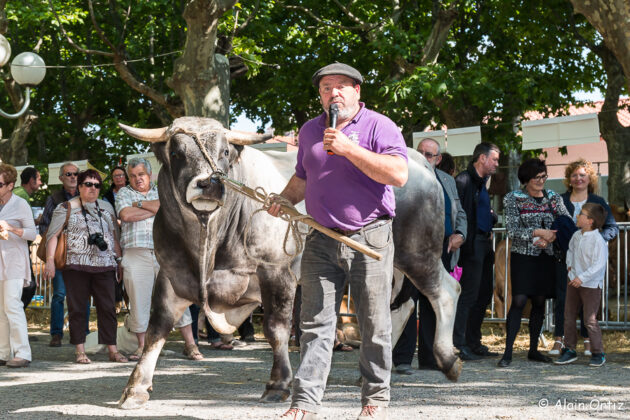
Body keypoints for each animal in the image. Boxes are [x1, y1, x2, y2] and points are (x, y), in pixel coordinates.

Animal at [116, 116, 462, 408]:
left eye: (225, 151)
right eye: (176, 152)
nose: (208, 184)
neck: (207, 245)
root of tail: (416, 160)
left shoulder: (275, 271)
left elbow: (276, 329)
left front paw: (278, 384)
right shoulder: (171, 273)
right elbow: (157, 327)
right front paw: (135, 388)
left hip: (417, 252)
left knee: (445, 291)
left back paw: (447, 359)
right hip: (388, 267)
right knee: (394, 309)